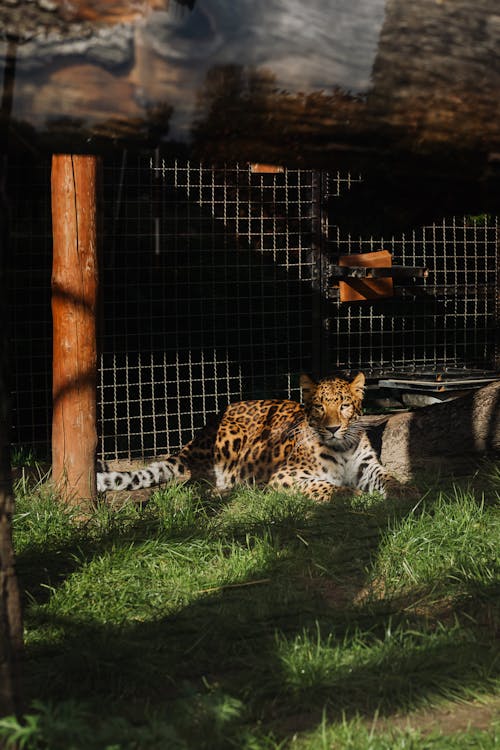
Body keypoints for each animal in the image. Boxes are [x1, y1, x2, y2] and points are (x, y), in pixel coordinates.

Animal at [96, 374, 394, 502]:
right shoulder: (287, 476)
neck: (341, 446)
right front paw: (353, 496)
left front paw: (401, 491)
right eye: (319, 406)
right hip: (232, 435)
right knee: (200, 480)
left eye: (344, 405)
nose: (332, 428)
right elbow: (329, 487)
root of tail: (197, 437)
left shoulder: (368, 467)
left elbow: (388, 477)